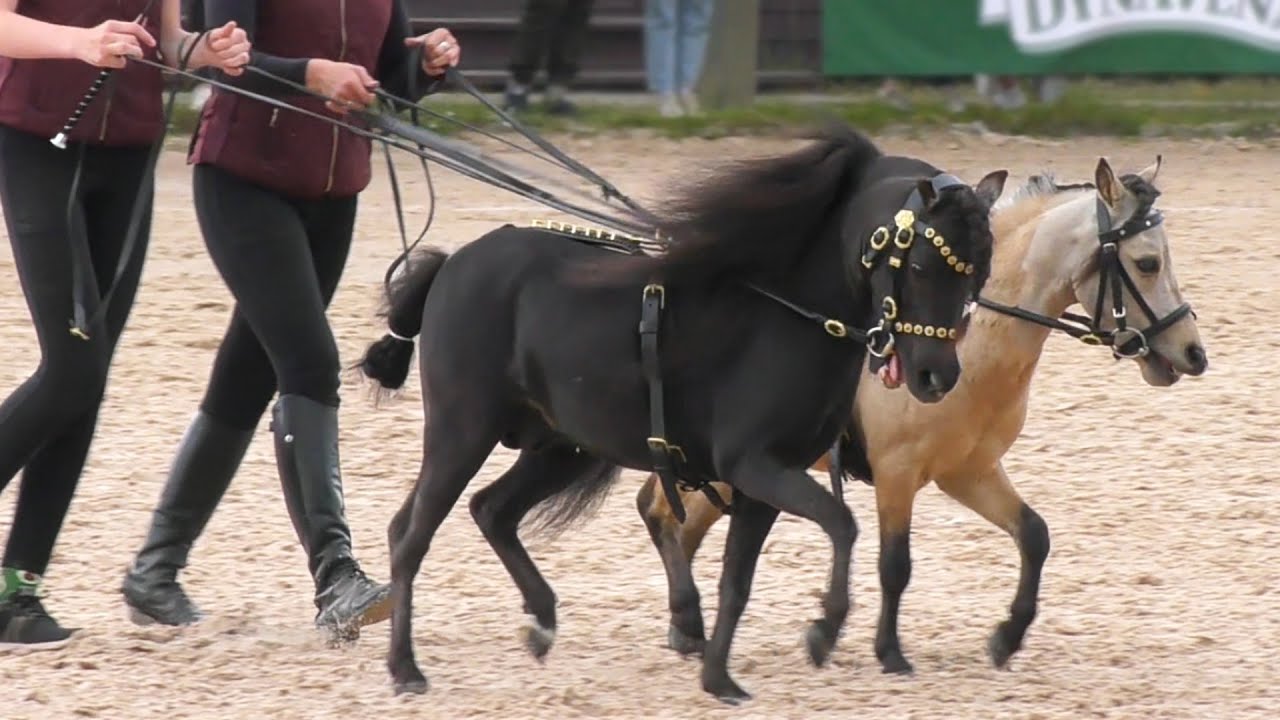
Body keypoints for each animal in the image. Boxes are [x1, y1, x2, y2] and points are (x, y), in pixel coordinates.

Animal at [355, 124, 1003, 702]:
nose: (936, 375)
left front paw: (719, 679)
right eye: (920, 266)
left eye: (979, 273)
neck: (784, 313)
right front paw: (822, 630)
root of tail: (454, 263)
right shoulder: (755, 466)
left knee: (490, 510)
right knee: (411, 535)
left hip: (563, 447)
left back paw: (540, 619)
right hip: (462, 431)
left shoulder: (765, 483)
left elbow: (737, 581)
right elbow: (841, 524)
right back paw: (405, 668)